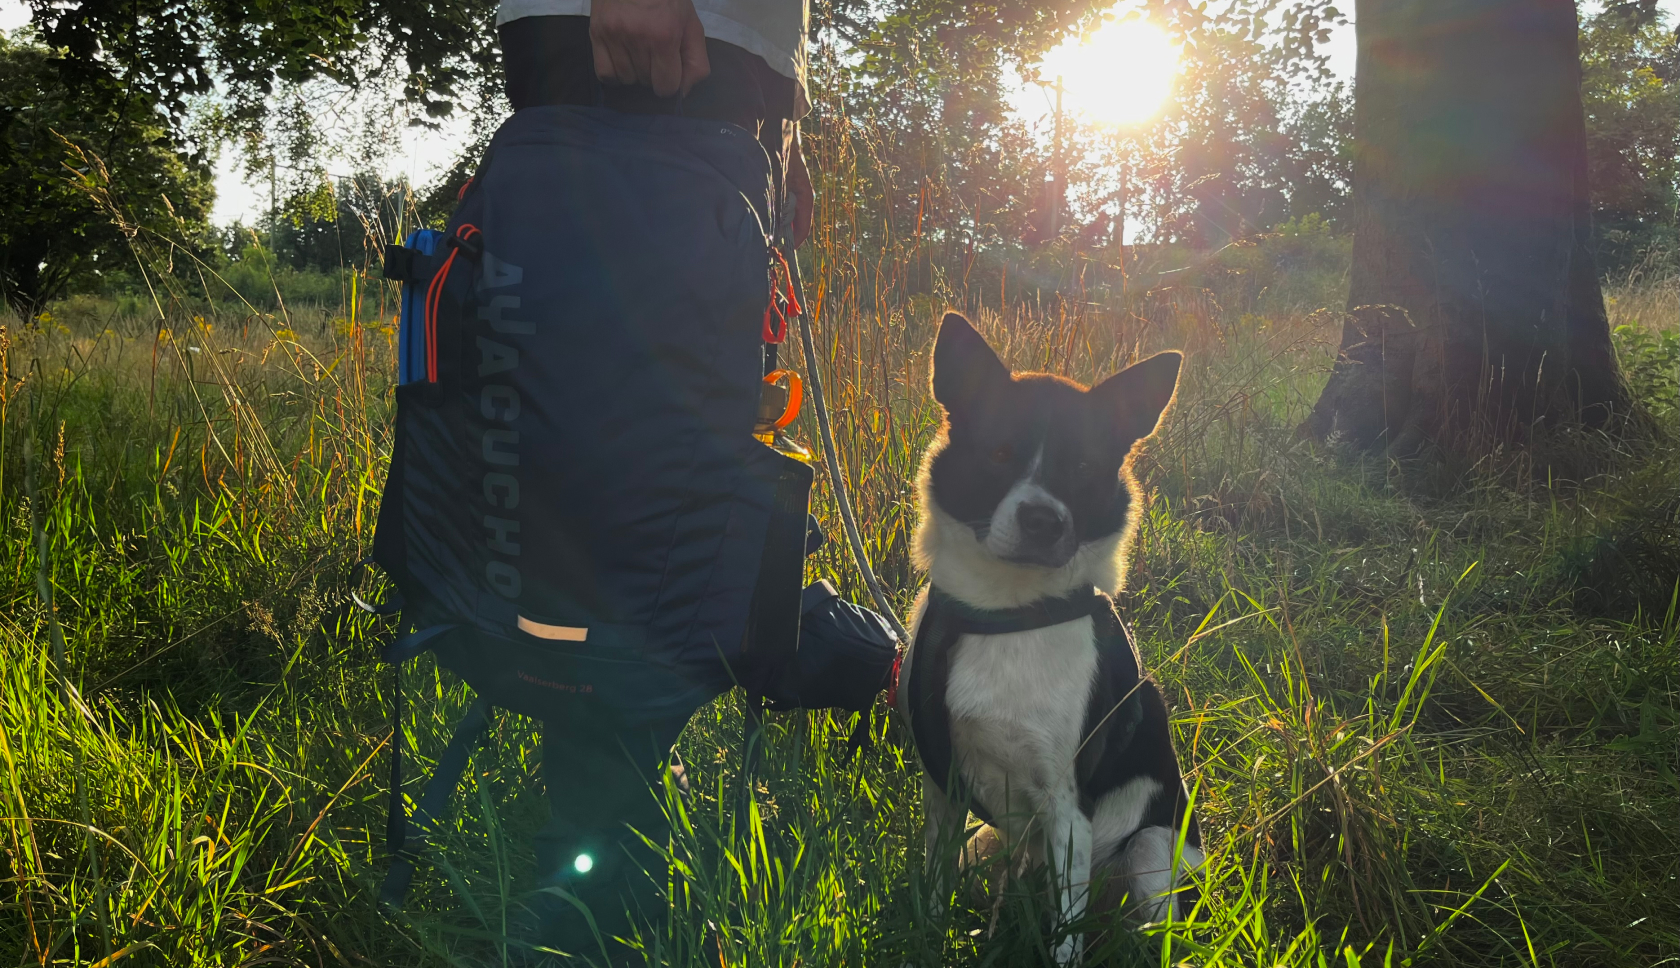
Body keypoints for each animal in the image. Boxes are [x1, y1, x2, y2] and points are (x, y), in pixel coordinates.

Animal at [900, 312, 1202, 961]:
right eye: (998, 453)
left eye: (1084, 469)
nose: (1043, 520)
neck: (1008, 613)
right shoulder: (943, 788)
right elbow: (934, 890)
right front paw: (931, 938)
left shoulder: (1069, 811)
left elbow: (1066, 938)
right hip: (990, 840)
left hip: (1150, 852)